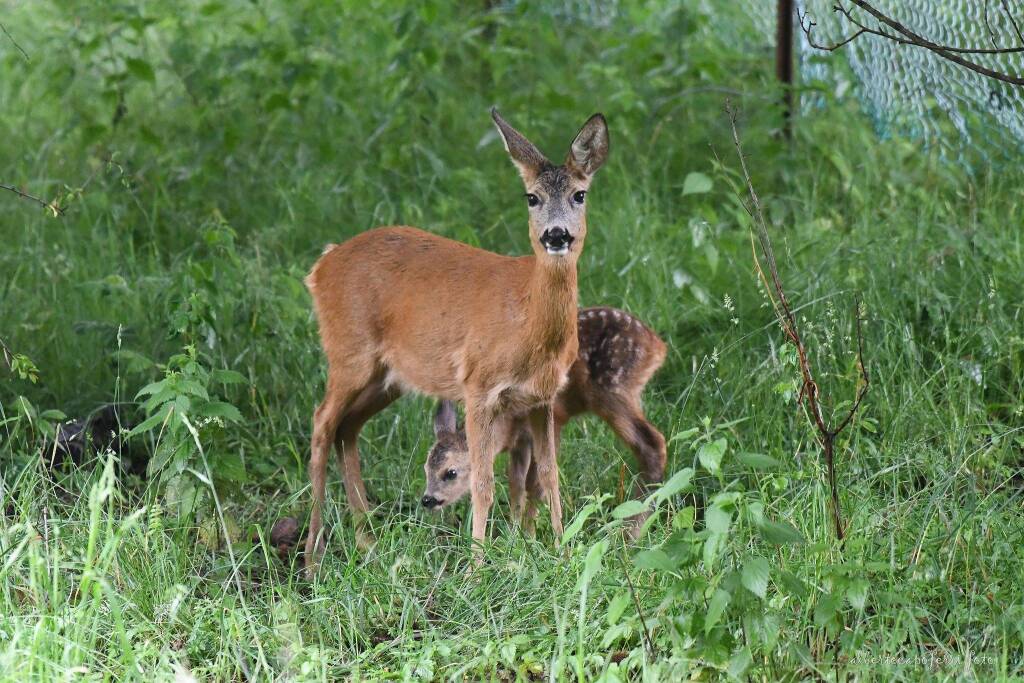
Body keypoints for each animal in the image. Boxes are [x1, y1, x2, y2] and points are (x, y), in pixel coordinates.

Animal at [303, 108, 606, 565]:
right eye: (531, 198)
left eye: (580, 195)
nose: (556, 235)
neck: (528, 325)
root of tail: (321, 266)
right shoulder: (477, 386)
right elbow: (482, 480)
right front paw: (476, 566)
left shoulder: (542, 396)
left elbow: (549, 475)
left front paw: (562, 550)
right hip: (348, 351)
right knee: (322, 423)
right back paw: (311, 556)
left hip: (387, 376)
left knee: (346, 428)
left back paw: (366, 542)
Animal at [421, 307, 667, 536]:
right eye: (426, 468)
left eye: (450, 472)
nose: (427, 499)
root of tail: (656, 344)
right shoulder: (519, 441)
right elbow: (516, 483)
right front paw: (513, 534)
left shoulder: (552, 421)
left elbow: (536, 481)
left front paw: (529, 536)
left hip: (613, 390)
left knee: (652, 443)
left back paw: (632, 533)